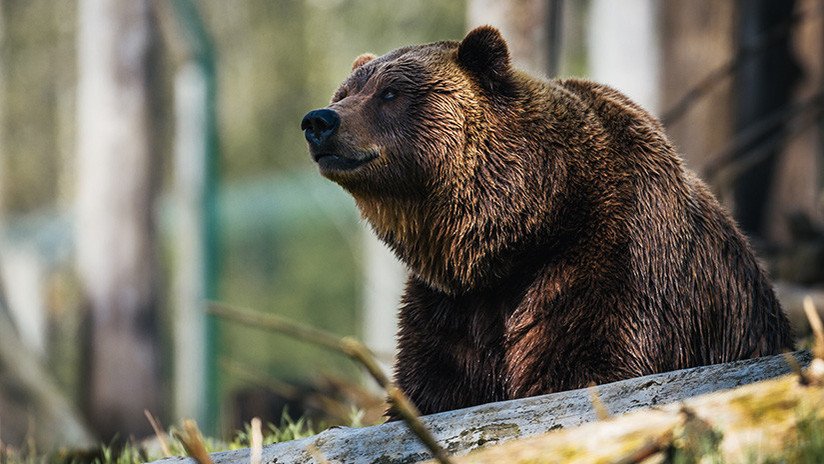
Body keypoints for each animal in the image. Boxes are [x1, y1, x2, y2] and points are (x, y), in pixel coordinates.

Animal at [301, 25, 793, 417]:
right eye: (344, 93)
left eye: (390, 93)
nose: (319, 121)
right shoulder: (452, 307)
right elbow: (433, 386)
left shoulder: (611, 263)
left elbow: (587, 365)